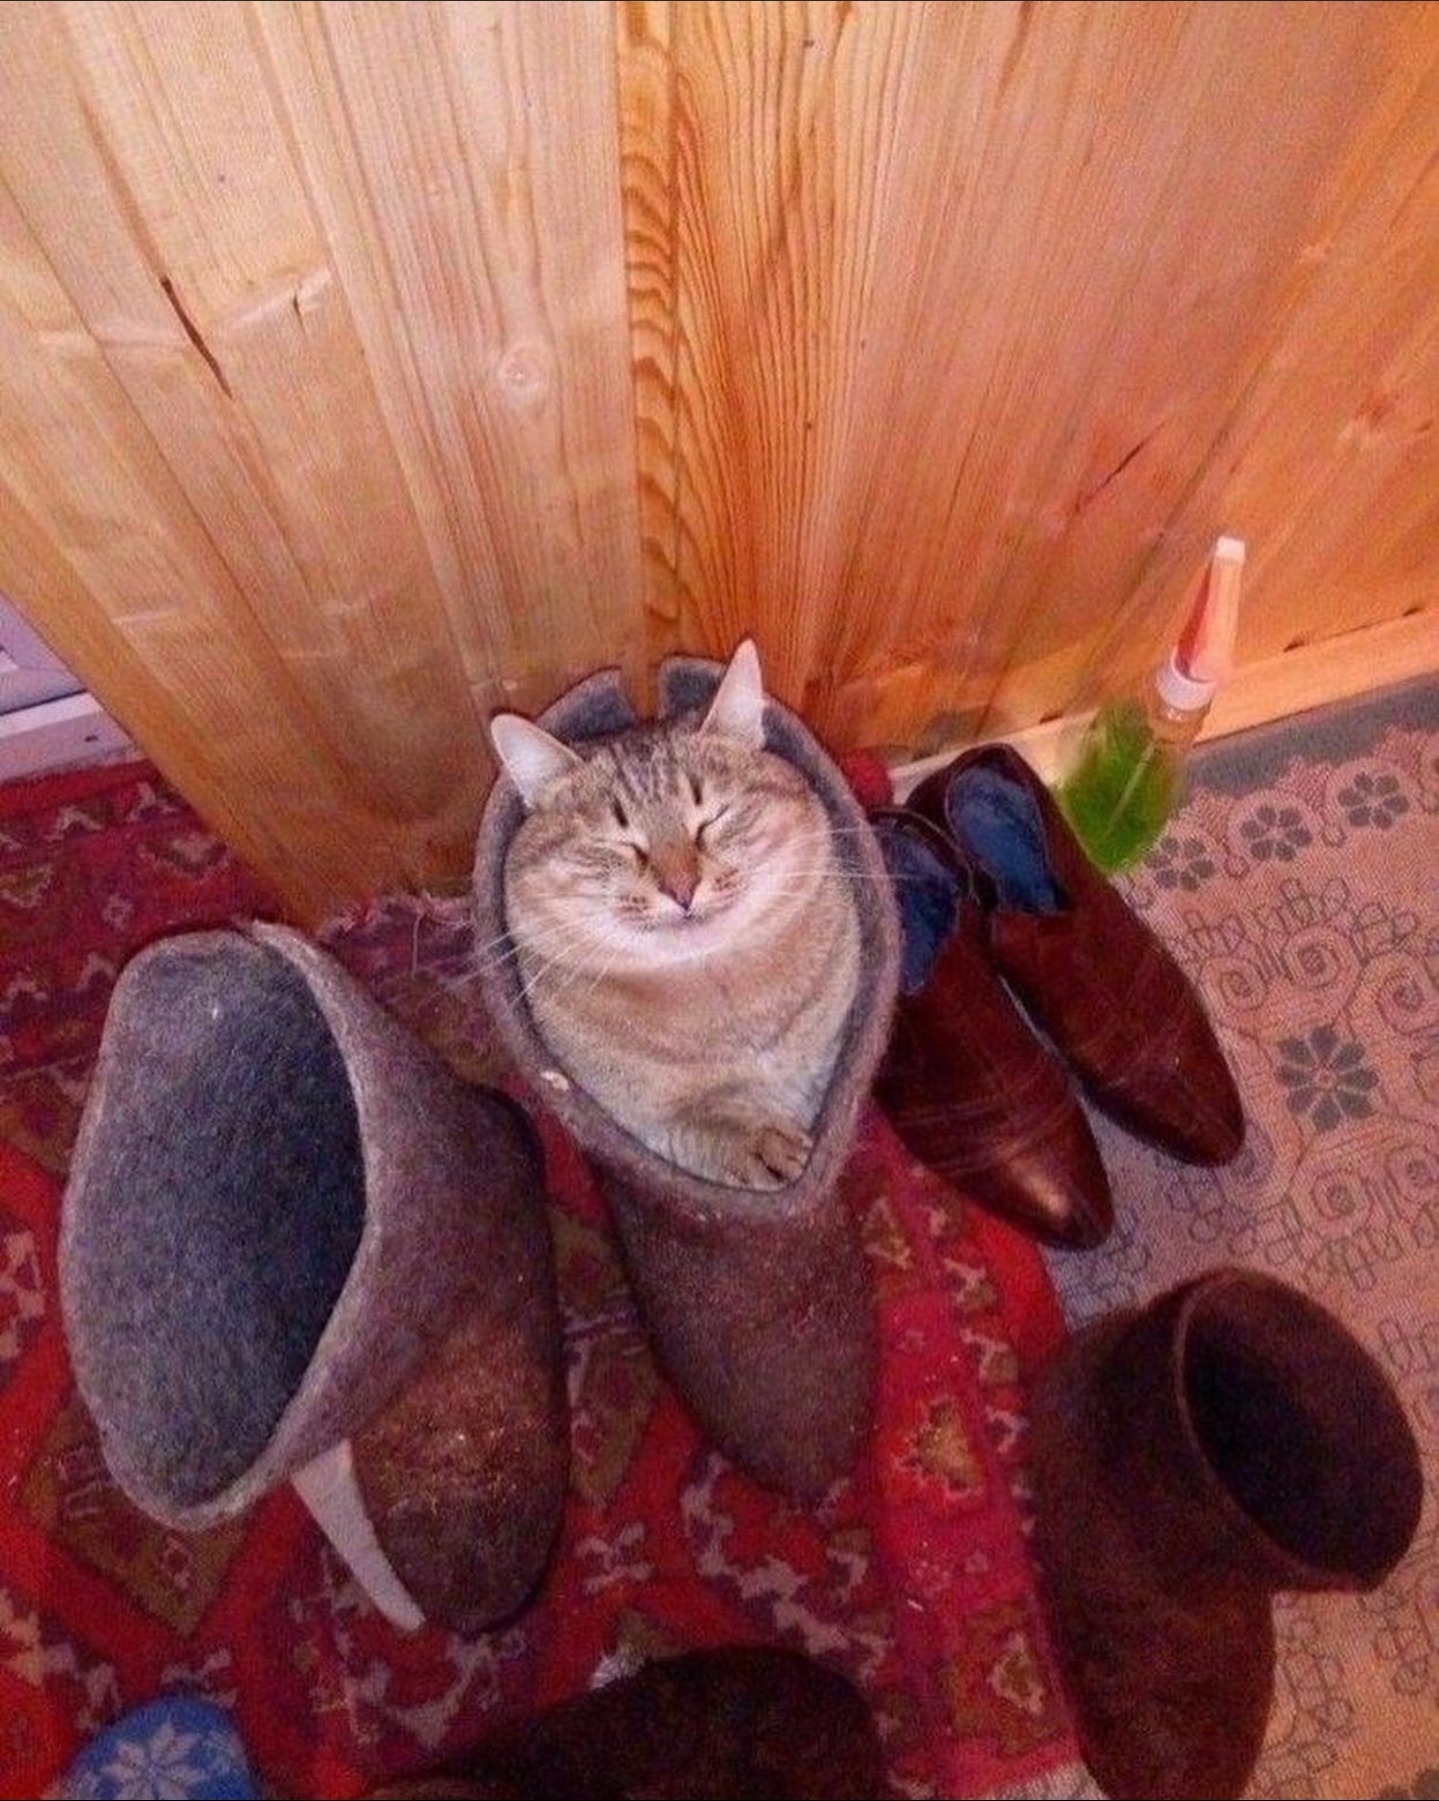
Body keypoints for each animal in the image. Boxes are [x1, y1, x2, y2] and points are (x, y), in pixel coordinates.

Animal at [488, 640, 861, 1189]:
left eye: (712, 820)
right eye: (618, 844)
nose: (682, 889)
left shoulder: (824, 1058)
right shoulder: (635, 1122)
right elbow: (693, 1127)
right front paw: (759, 1145)